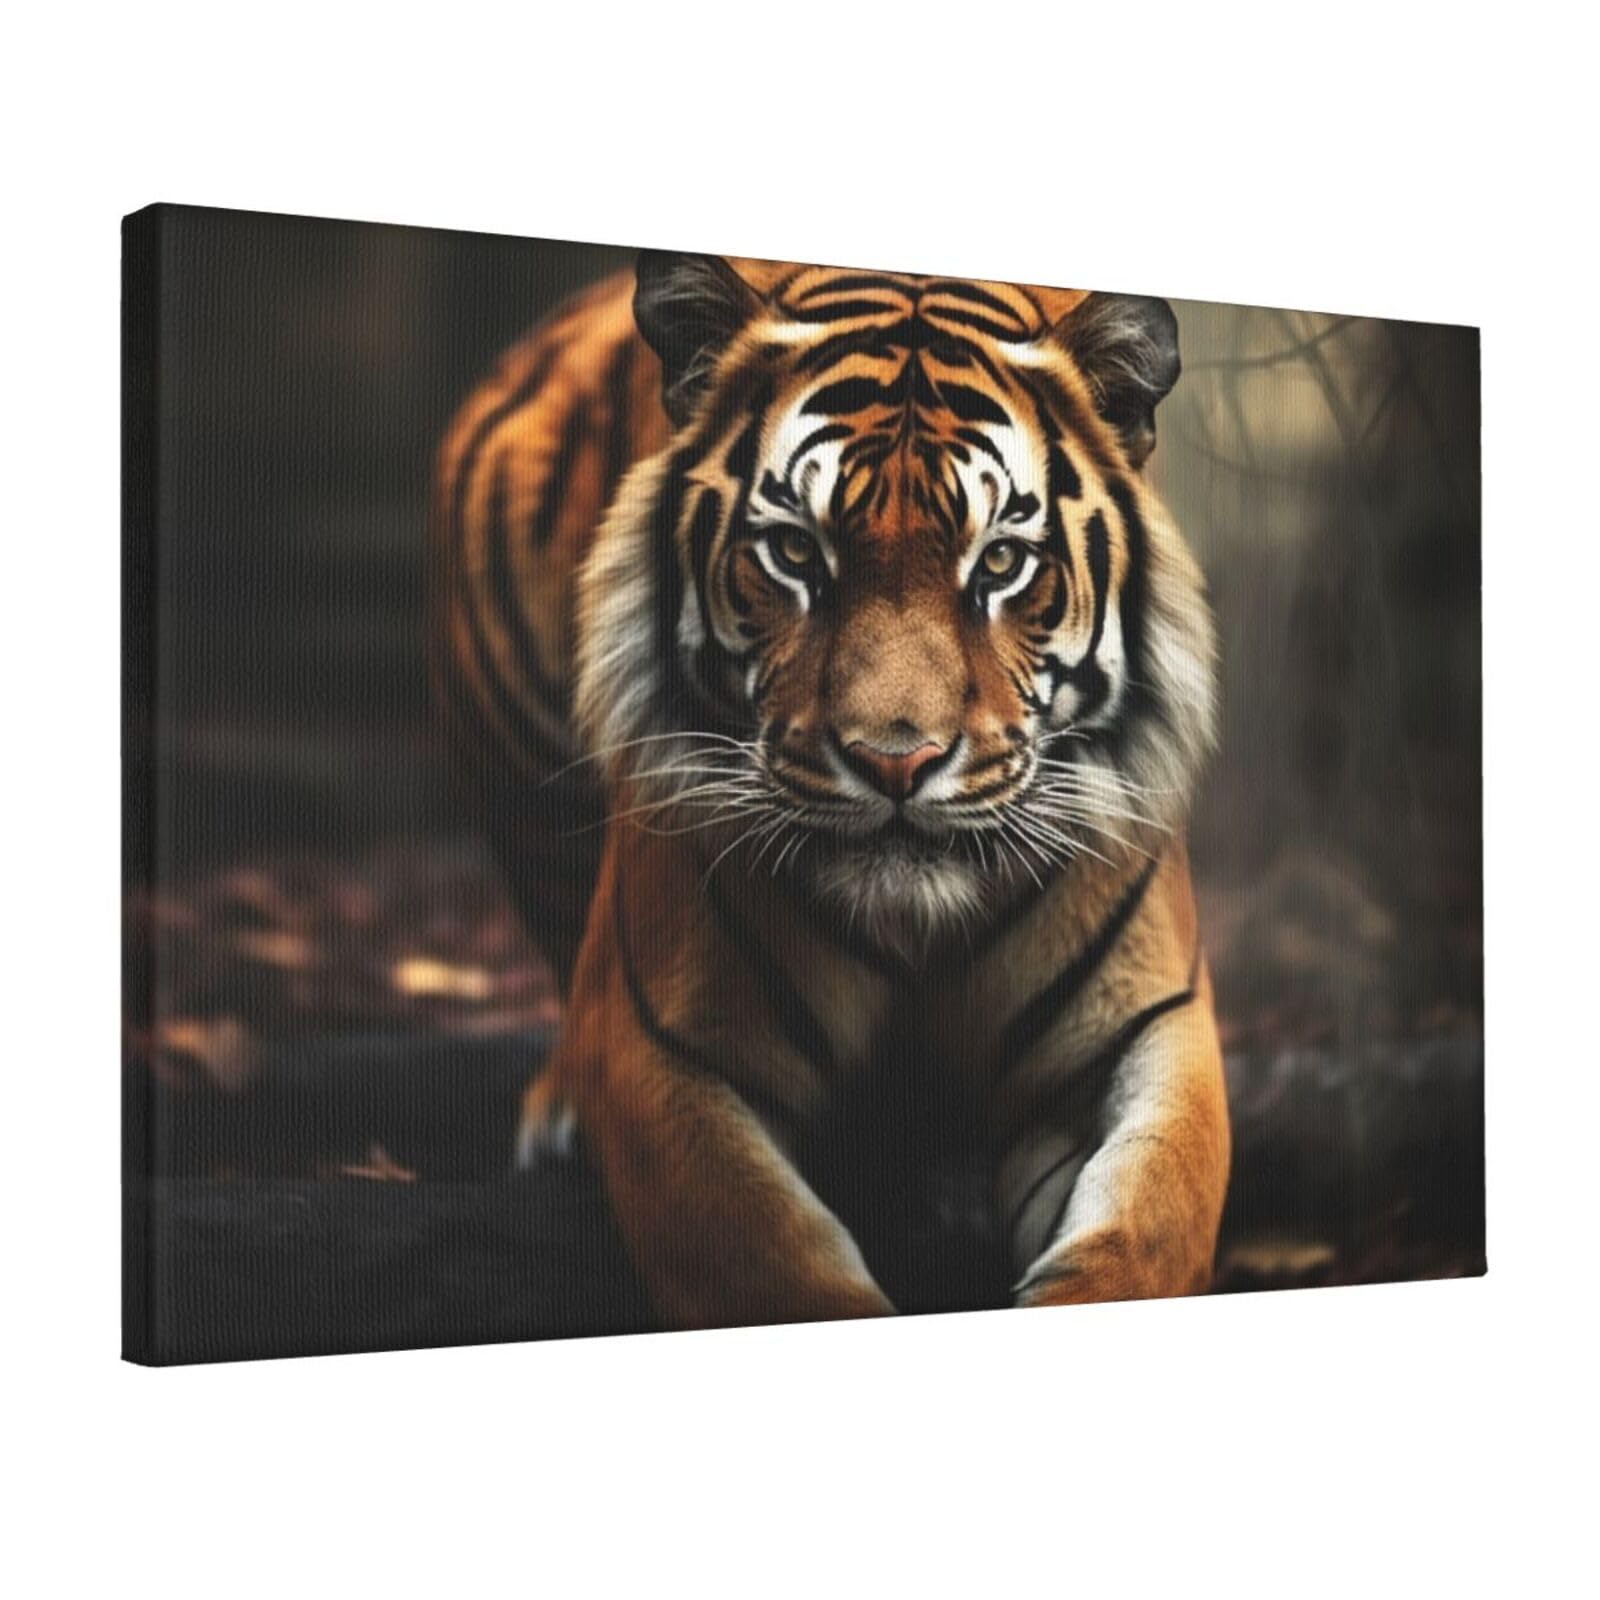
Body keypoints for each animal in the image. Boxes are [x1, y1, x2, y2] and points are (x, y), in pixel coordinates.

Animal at [430, 251, 1228, 1329]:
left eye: (1001, 562)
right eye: (796, 552)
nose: (895, 761)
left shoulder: (1147, 1033)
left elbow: (1144, 1232)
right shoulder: (667, 1052)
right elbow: (771, 1259)